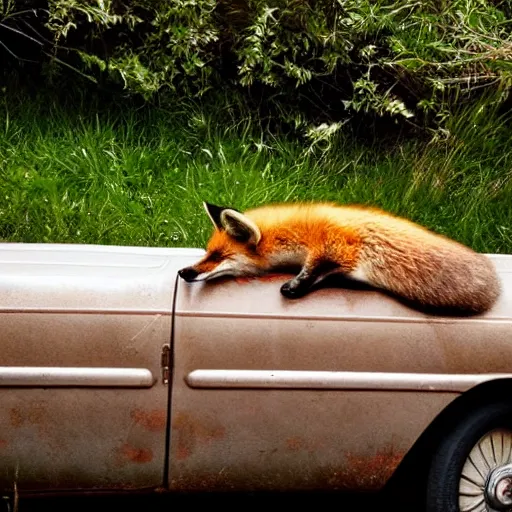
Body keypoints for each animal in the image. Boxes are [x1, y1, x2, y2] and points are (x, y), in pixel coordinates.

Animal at [178, 201, 502, 314]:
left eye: (219, 256)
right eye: (206, 252)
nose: (185, 272)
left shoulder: (334, 246)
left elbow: (316, 270)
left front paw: (294, 286)